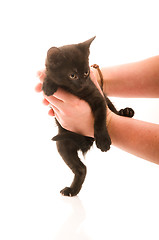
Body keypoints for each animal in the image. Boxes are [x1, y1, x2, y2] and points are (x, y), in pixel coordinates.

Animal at [42, 36, 134, 196]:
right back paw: (72, 190)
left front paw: (103, 141)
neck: (74, 91)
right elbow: (48, 75)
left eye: (86, 73)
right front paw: (48, 85)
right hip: (62, 143)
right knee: (81, 168)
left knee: (113, 110)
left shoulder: (98, 98)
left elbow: (100, 120)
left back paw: (125, 112)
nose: (82, 84)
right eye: (72, 75)